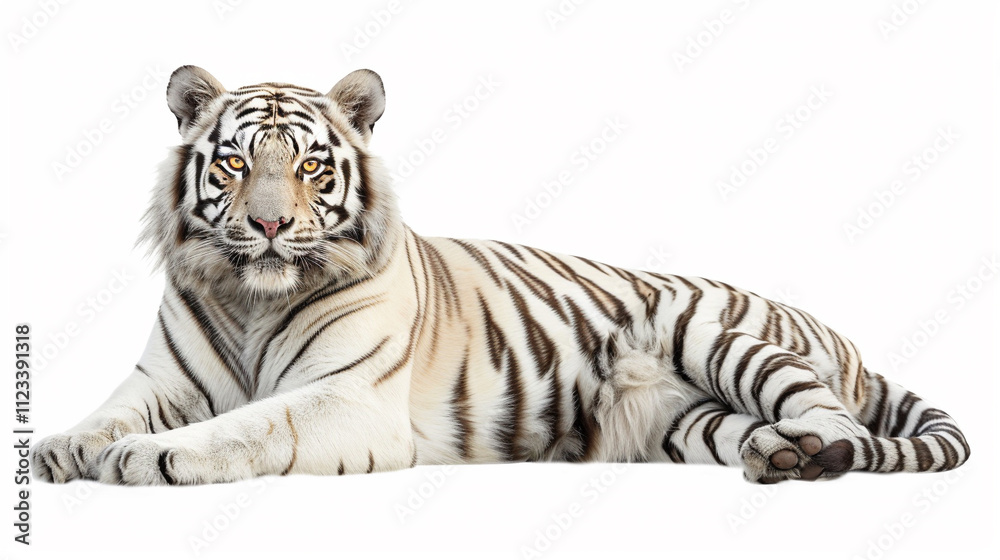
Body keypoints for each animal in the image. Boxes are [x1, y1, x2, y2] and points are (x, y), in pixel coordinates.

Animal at [32, 66, 970, 485]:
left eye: (307, 167)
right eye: (233, 163)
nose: (267, 225)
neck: (254, 301)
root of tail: (844, 340)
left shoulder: (347, 397)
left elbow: (251, 424)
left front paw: (150, 457)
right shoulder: (164, 378)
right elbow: (110, 409)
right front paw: (63, 445)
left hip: (721, 336)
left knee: (836, 420)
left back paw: (814, 456)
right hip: (688, 424)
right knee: (761, 430)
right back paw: (779, 455)